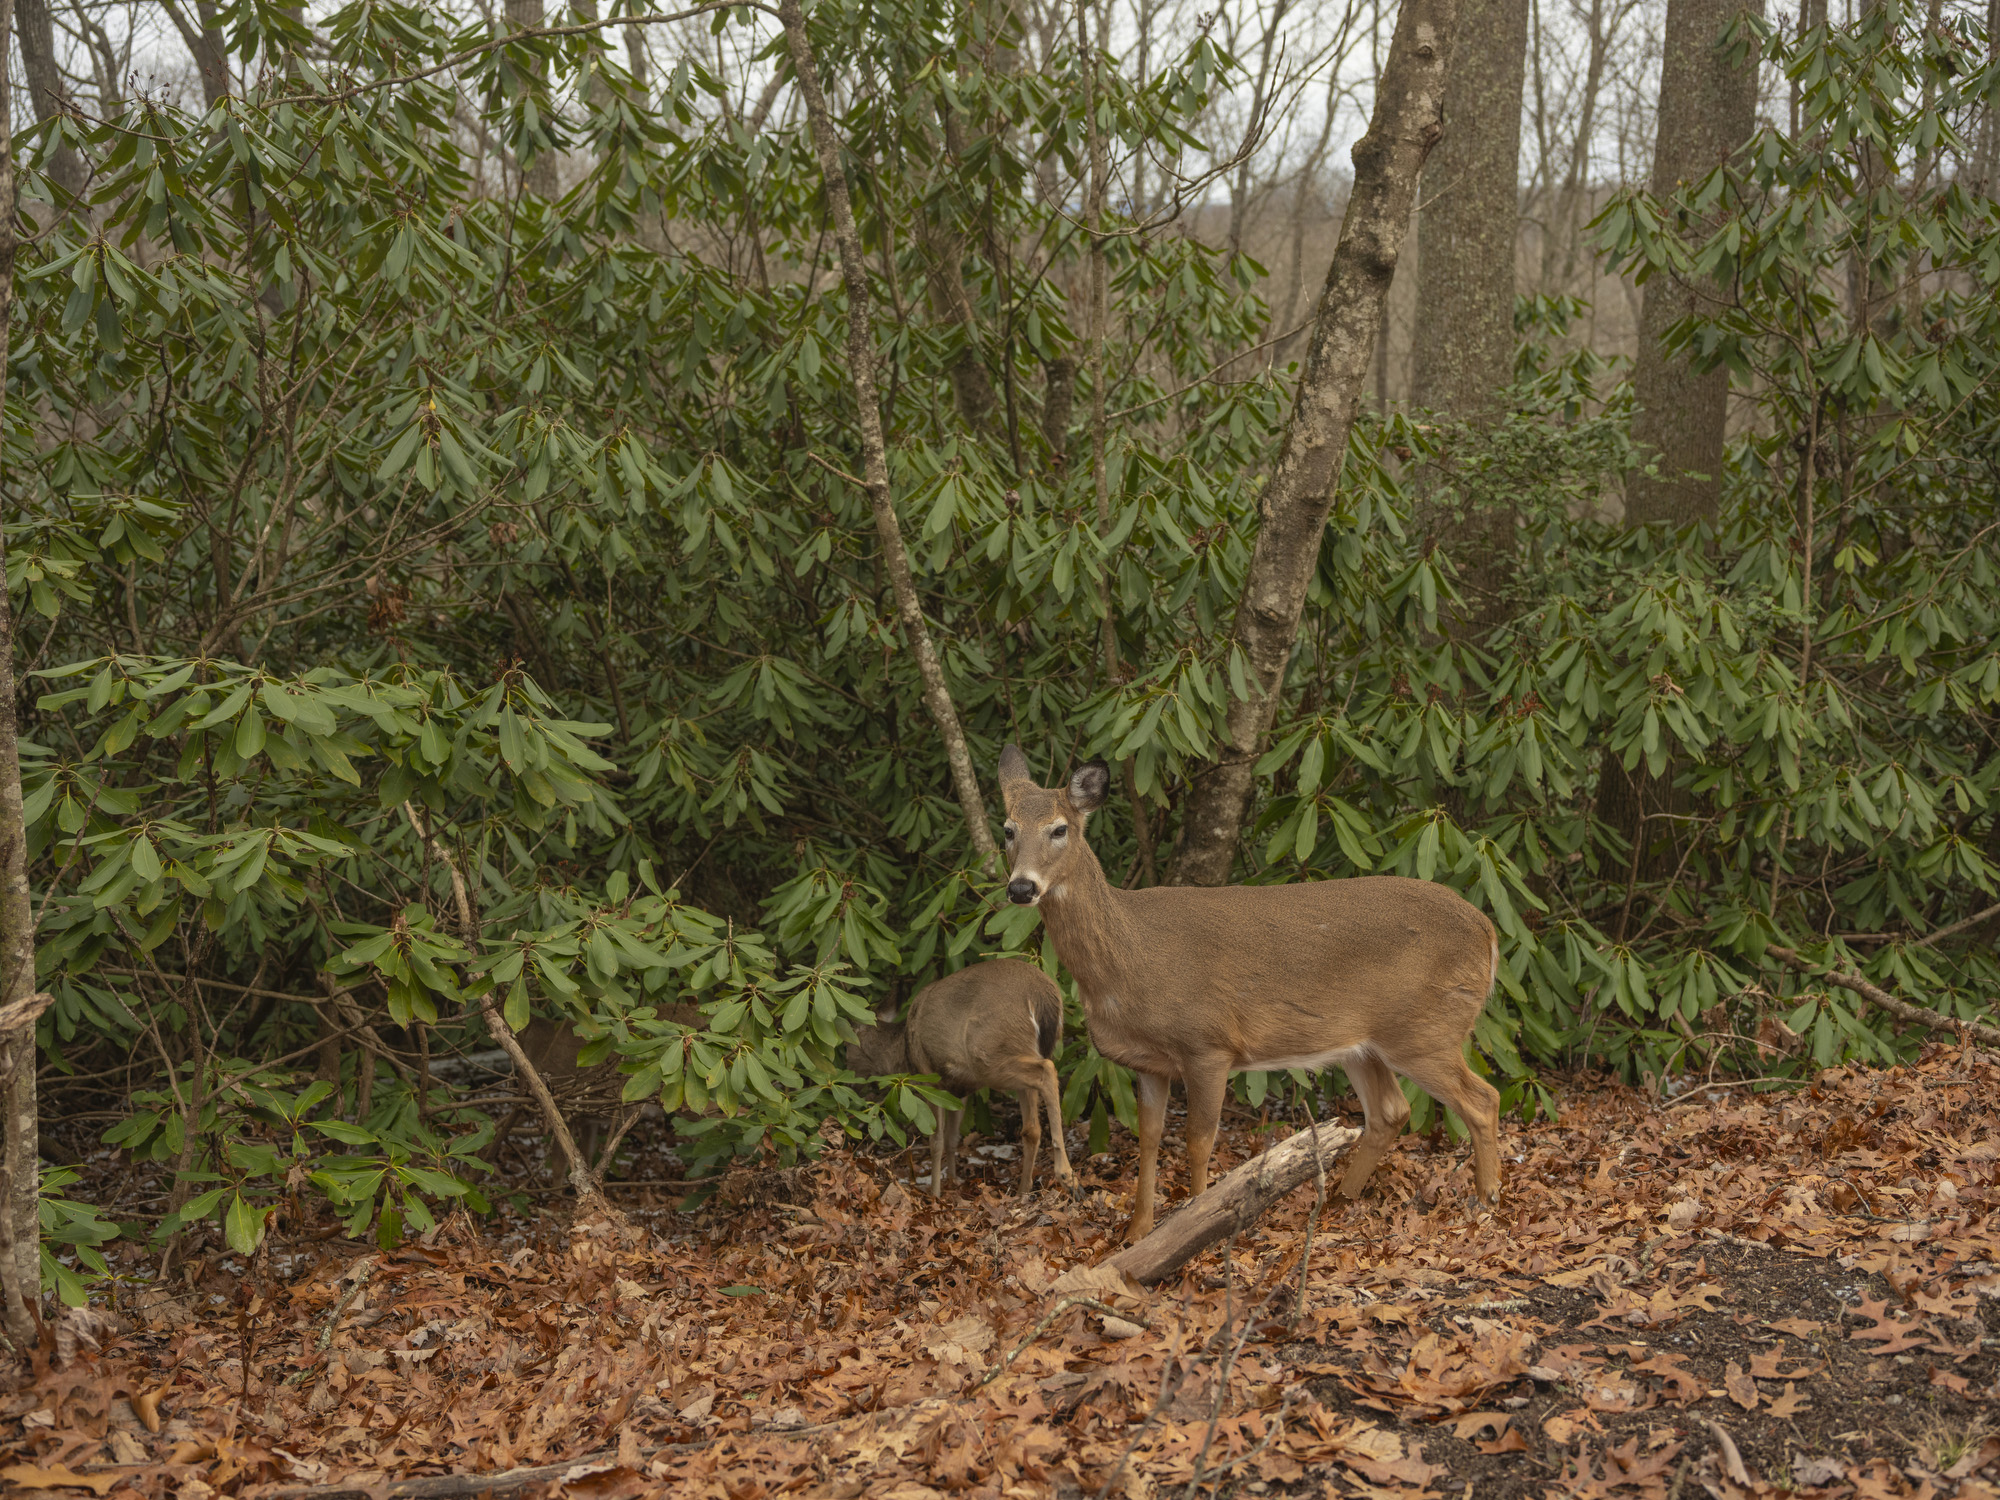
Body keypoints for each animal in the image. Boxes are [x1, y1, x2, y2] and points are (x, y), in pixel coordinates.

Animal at [847, 959, 1074, 1199]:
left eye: (847, 1045)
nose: (849, 1076)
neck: (904, 1050)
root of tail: (1043, 997)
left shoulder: (930, 1077)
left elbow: (936, 1140)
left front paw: (935, 1193)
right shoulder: (959, 1089)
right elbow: (952, 1137)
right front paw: (953, 1179)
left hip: (988, 1054)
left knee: (1047, 1071)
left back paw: (1066, 1175)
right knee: (1031, 1128)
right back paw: (1023, 1191)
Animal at [995, 743, 1502, 1240]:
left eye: (1059, 829)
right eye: (1008, 830)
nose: (1020, 887)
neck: (1131, 959)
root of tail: (1489, 930)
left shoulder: (1208, 1044)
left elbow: (1199, 1141)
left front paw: (1195, 1226)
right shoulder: (1149, 1063)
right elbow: (1149, 1138)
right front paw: (1137, 1233)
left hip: (1426, 1028)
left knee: (1482, 1100)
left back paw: (1486, 1203)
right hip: (1362, 1043)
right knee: (1391, 1111)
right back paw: (1340, 1201)